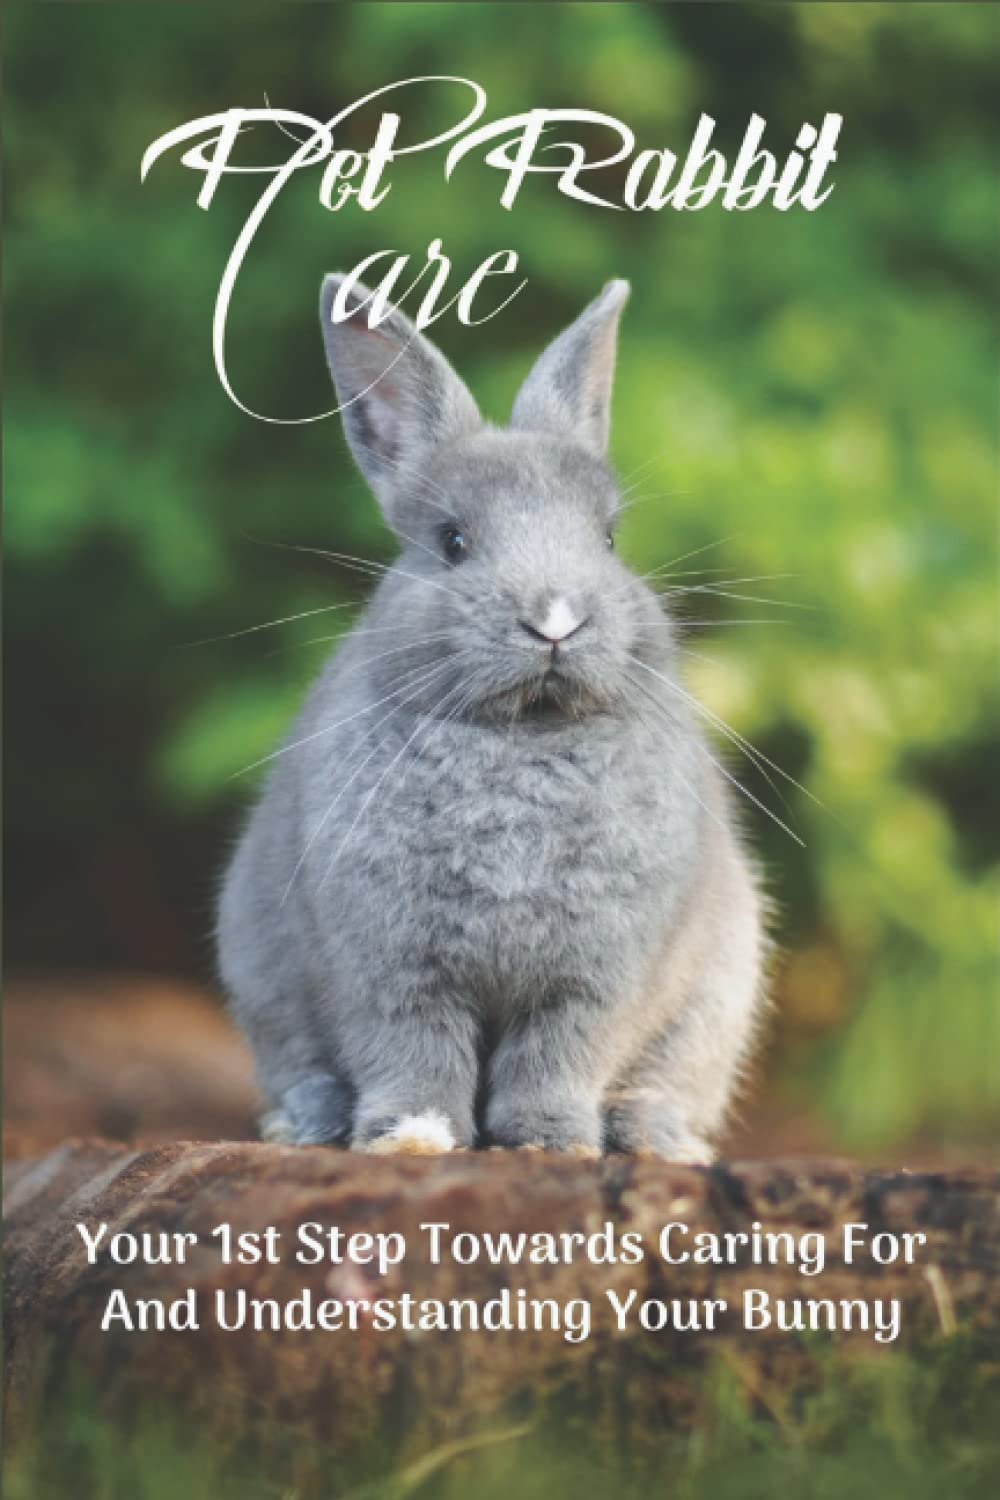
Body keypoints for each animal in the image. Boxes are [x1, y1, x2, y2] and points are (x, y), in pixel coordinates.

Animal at [216, 275, 767, 1161]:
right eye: (453, 542)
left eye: (609, 540)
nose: (555, 619)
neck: (524, 734)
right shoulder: (392, 971)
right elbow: (413, 1051)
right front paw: (411, 1137)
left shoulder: (593, 981)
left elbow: (558, 1054)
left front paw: (550, 1141)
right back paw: (306, 1124)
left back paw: (658, 1139)